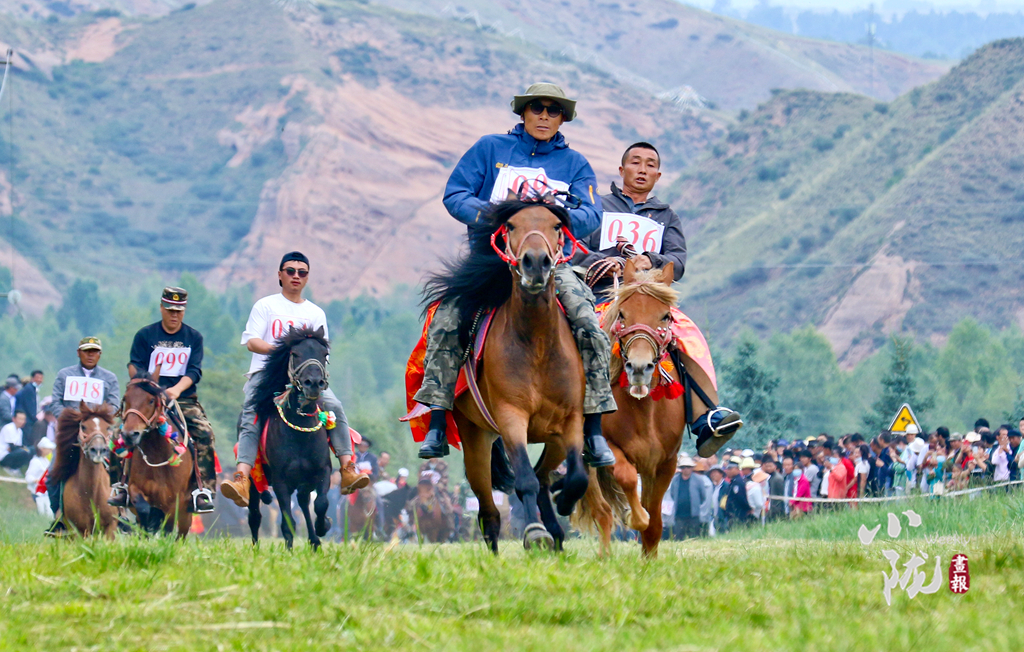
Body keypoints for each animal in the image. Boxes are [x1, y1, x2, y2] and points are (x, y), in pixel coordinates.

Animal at [49, 403, 118, 539]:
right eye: (84, 426)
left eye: (107, 427)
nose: (98, 450)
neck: (91, 492)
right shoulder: (77, 529)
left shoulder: (111, 525)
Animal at [121, 370, 196, 537]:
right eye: (126, 398)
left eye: (150, 400)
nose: (129, 434)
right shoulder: (135, 488)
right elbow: (143, 510)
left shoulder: (175, 499)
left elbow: (168, 527)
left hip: (186, 513)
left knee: (181, 533)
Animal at [247, 325, 332, 550]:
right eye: (295, 353)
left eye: (324, 354)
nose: (313, 383)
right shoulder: (280, 480)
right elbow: (288, 521)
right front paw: (289, 549)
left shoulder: (322, 471)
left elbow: (321, 504)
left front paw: (323, 527)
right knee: (254, 516)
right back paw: (255, 548)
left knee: (303, 502)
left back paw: (314, 540)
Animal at [423, 199, 590, 553]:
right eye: (511, 226)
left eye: (557, 225)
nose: (536, 262)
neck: (537, 343)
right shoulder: (511, 416)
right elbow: (523, 479)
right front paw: (534, 533)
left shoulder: (570, 418)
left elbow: (577, 476)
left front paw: (565, 503)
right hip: (475, 438)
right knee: (490, 511)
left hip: (551, 437)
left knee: (543, 476)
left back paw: (557, 533)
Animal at [573, 261, 697, 557]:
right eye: (623, 314)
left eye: (665, 316)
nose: (639, 368)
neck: (644, 412)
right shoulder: (608, 448)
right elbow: (628, 480)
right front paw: (635, 517)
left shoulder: (665, 462)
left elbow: (655, 520)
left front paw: (648, 560)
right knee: (603, 512)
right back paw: (604, 556)